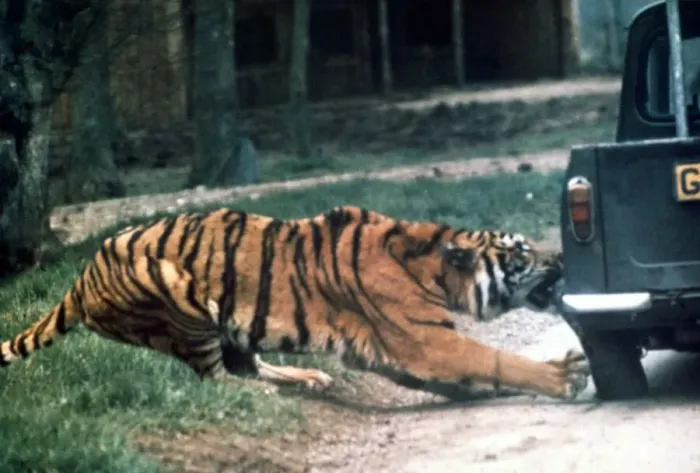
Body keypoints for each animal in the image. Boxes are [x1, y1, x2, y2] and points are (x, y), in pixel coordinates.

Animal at [0, 205, 588, 401]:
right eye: (523, 251)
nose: (563, 257)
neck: (433, 265)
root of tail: (79, 280)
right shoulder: (425, 341)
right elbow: (497, 359)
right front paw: (562, 377)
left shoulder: (388, 350)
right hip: (180, 300)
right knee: (218, 378)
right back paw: (263, 392)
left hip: (232, 323)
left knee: (249, 362)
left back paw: (308, 378)